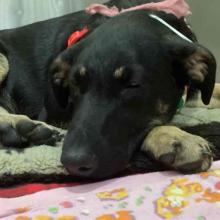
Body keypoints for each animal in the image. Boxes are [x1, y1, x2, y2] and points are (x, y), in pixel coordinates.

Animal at [0, 0, 217, 179]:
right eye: (75, 84)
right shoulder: (55, 114)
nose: (74, 163)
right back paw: (19, 127)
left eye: (133, 85)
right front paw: (175, 137)